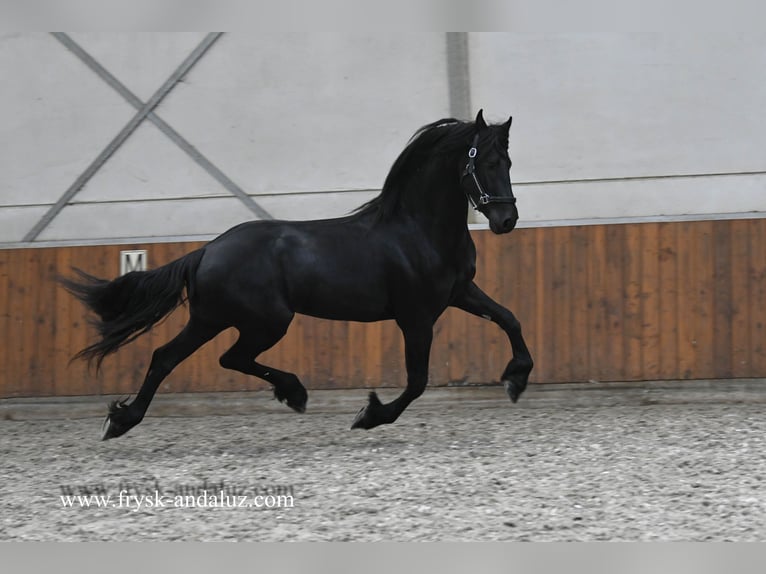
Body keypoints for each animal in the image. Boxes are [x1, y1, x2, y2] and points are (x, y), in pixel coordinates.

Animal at [61, 110, 534, 440]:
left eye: (509, 161)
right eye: (484, 161)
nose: (506, 220)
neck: (417, 230)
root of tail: (207, 251)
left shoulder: (459, 292)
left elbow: (509, 318)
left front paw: (516, 379)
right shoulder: (415, 316)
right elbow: (417, 381)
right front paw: (368, 415)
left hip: (213, 318)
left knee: (169, 357)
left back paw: (122, 420)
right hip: (264, 321)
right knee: (225, 358)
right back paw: (294, 393)